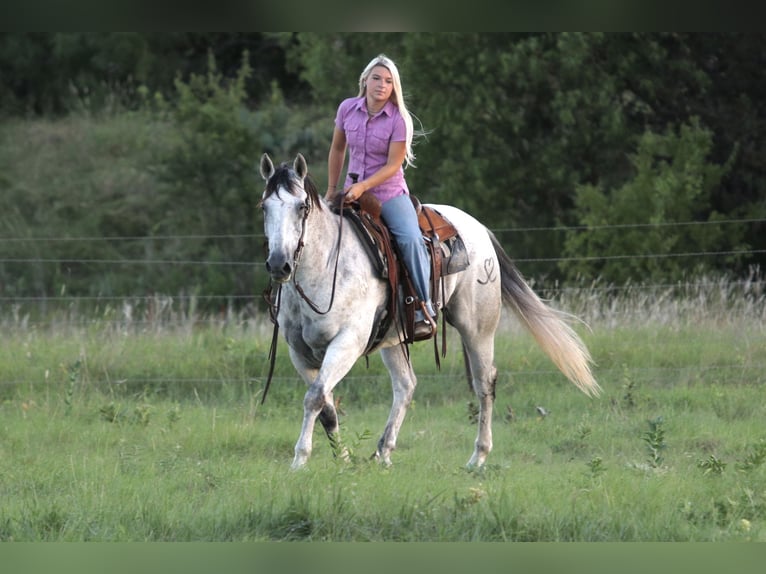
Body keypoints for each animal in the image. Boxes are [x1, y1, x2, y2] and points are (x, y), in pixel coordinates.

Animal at [259, 153, 600, 470]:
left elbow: (315, 397)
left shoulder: (347, 343)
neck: (327, 265)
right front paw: (342, 458)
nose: (279, 265)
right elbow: (326, 405)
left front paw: (300, 460)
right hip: (394, 337)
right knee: (406, 385)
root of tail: (479, 228)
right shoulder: (299, 352)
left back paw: (478, 457)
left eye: (301, 207)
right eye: (264, 207)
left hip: (477, 329)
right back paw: (383, 452)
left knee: (484, 382)